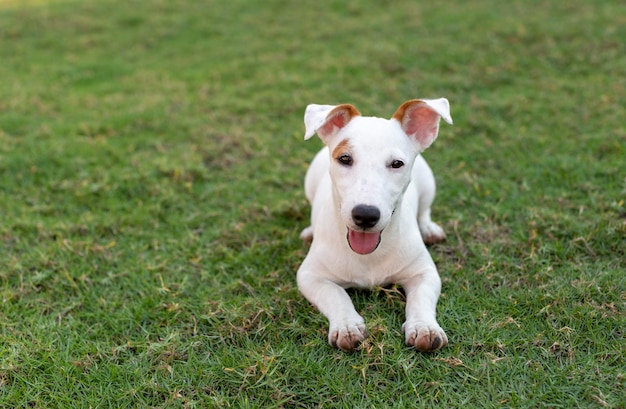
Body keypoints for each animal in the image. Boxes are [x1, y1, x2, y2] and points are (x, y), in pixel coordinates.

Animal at [294, 99, 450, 350]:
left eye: (397, 164)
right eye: (344, 159)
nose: (365, 215)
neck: (368, 255)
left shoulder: (424, 273)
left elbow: (421, 299)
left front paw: (424, 327)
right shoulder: (310, 276)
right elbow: (336, 295)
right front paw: (347, 325)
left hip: (428, 184)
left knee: (425, 210)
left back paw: (429, 228)